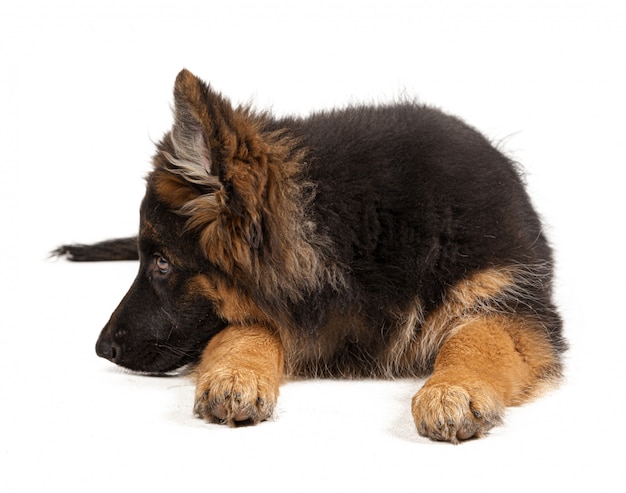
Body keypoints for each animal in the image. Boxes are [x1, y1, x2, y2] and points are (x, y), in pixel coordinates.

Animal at [58, 69, 564, 442]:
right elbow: (246, 328)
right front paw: (236, 373)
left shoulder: (513, 301)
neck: (357, 231)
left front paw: (452, 388)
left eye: (162, 264)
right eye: (149, 260)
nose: (101, 349)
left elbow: (477, 338)